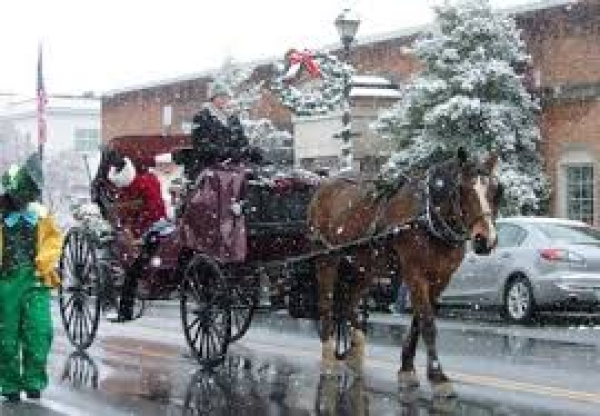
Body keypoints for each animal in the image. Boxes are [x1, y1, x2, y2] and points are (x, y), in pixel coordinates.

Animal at [310, 149, 502, 396]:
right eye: (463, 189)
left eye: (495, 191)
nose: (485, 240)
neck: (428, 216)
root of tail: (324, 186)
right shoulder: (414, 273)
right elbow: (428, 322)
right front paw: (438, 377)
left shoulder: (441, 278)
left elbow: (419, 320)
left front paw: (407, 369)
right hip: (326, 260)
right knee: (326, 304)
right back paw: (328, 357)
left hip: (363, 267)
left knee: (348, 304)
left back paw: (355, 354)